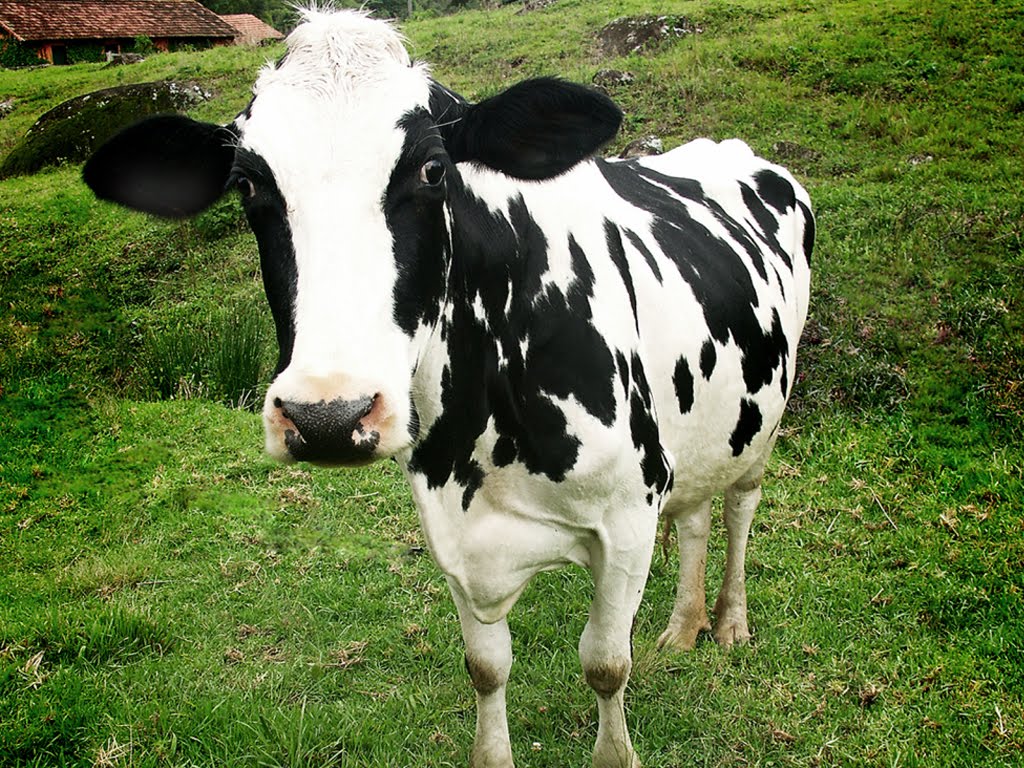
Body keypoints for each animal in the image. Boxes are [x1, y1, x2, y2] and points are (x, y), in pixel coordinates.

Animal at [83, 8, 813, 767]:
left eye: (434, 170)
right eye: (249, 183)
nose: (327, 416)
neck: (489, 426)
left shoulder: (629, 514)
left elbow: (607, 664)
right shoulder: (455, 529)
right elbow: (486, 667)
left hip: (763, 420)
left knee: (738, 508)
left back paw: (729, 622)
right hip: (702, 426)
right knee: (696, 512)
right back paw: (683, 626)